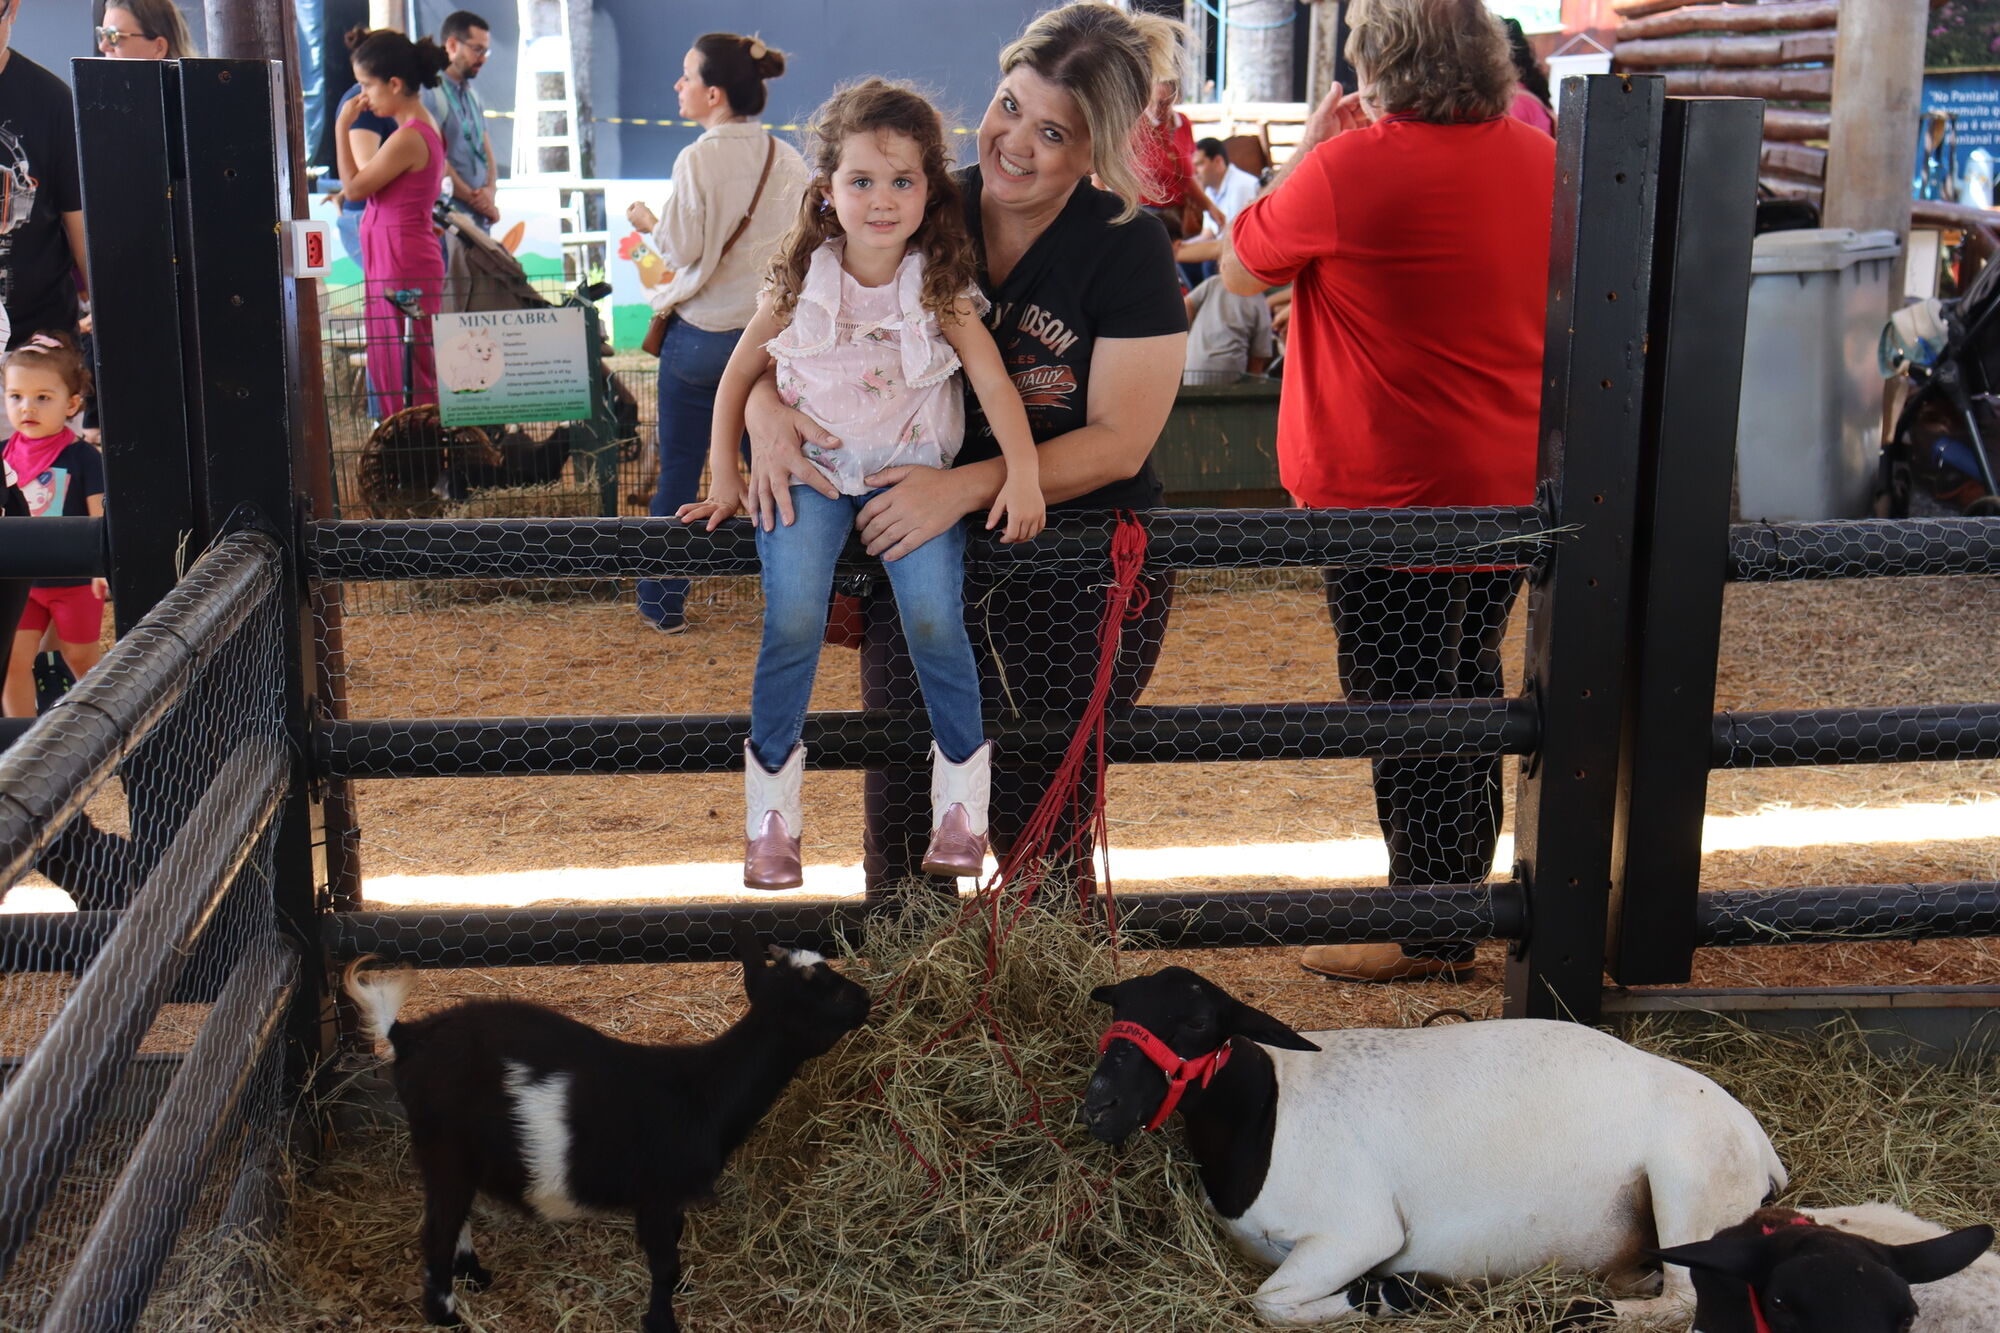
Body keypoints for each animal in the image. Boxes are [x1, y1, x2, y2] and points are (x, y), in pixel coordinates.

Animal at [342, 929, 870, 1333]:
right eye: (827, 991)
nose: (866, 997)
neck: (701, 1090)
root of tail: (407, 1036)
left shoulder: (670, 1199)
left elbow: (674, 1243)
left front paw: (681, 1290)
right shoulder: (656, 1192)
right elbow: (663, 1260)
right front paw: (662, 1321)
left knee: (454, 1215)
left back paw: (472, 1274)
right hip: (444, 1148)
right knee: (438, 1227)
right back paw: (446, 1315)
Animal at [1080, 966, 1785, 1326]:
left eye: (1199, 1022)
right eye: (1116, 1009)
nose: (1098, 1107)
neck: (1263, 1113)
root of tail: (1761, 1147)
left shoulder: (1356, 1232)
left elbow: (1270, 1304)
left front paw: (1401, 1293)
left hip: (1689, 1185)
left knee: (1684, 1301)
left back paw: (1581, 1312)